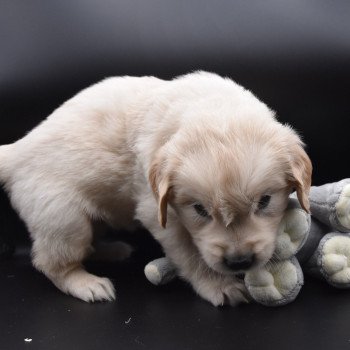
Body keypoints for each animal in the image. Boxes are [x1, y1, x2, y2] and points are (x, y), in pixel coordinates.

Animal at [0, 72, 312, 304]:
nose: (239, 262)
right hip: (64, 218)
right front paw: (218, 285)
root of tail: (17, 151)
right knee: (52, 261)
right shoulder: (160, 214)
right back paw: (86, 283)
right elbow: (191, 255)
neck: (214, 109)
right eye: (200, 210)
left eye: (264, 201)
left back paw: (113, 249)